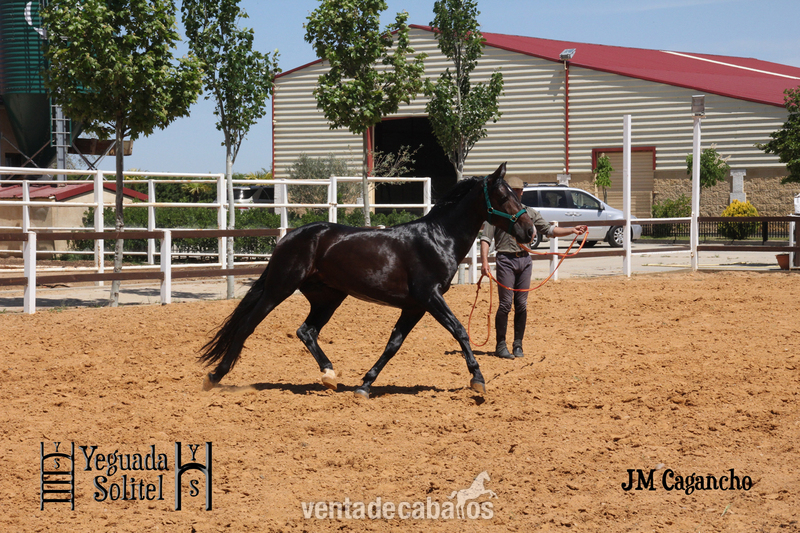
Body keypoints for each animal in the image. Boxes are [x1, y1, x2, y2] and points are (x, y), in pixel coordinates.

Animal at [199, 162, 533, 398]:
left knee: (306, 331)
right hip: (279, 288)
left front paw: (365, 385)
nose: (530, 231)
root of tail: (288, 237)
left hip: (329, 297)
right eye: (503, 196)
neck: (438, 239)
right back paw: (215, 376)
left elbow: (393, 344)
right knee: (248, 325)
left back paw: (330, 376)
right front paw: (478, 380)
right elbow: (460, 331)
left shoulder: (415, 306)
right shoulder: (430, 297)